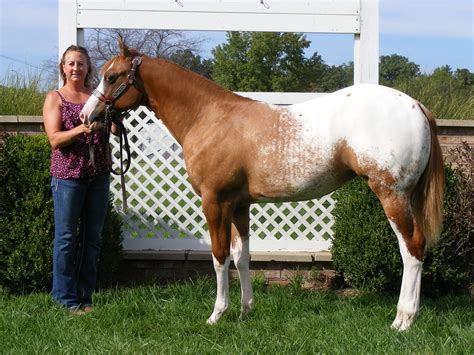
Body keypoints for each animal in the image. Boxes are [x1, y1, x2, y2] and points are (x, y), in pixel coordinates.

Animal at [80, 37, 444, 332]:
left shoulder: (215, 202)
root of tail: (417, 107)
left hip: (392, 196)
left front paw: (217, 314)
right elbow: (242, 257)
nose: (86, 115)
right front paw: (245, 311)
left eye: (111, 77)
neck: (208, 116)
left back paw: (403, 320)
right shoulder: (239, 205)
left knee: (412, 248)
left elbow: (219, 256)